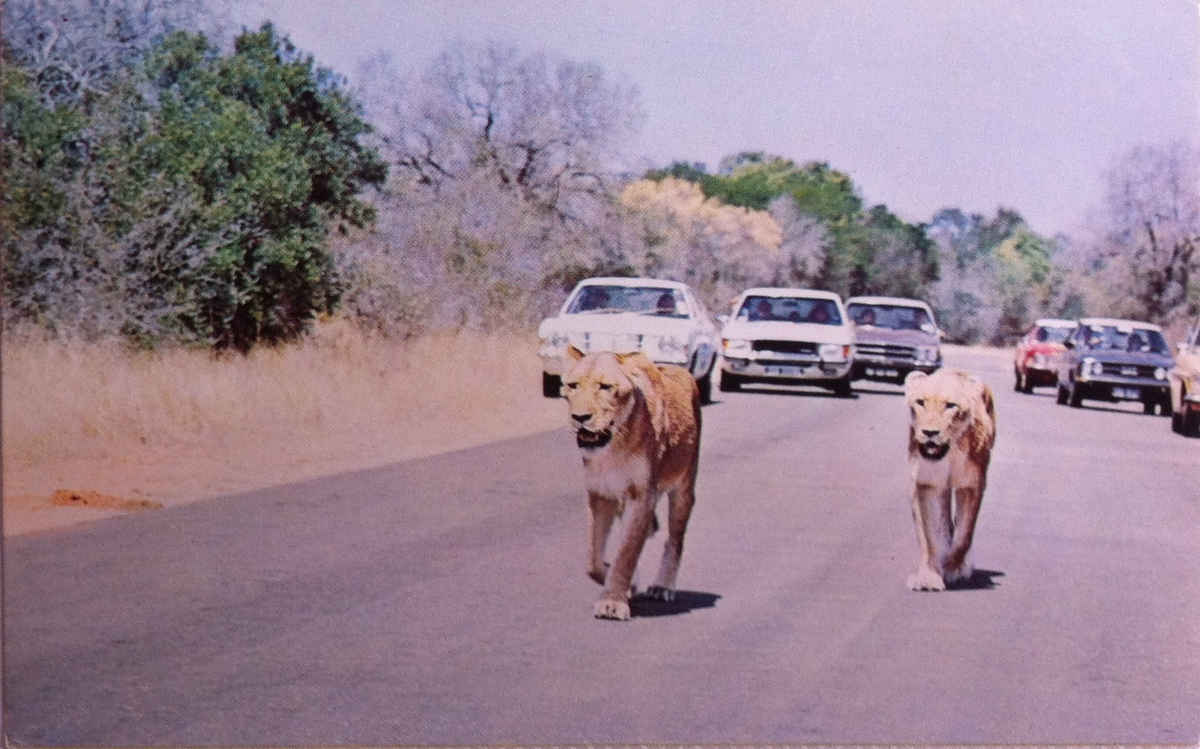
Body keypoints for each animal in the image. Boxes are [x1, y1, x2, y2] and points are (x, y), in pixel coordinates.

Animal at [561, 345, 700, 619]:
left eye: (606, 387)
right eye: (572, 386)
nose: (580, 417)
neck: (614, 446)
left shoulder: (641, 495)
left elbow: (626, 552)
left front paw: (613, 602)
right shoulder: (600, 494)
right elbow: (593, 559)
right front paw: (625, 585)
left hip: (684, 489)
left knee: (675, 540)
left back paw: (662, 586)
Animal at [902, 367, 993, 590]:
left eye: (951, 406)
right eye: (921, 402)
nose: (930, 433)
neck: (949, 452)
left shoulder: (971, 486)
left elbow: (965, 534)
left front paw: (954, 568)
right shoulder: (926, 484)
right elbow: (929, 536)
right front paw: (929, 577)